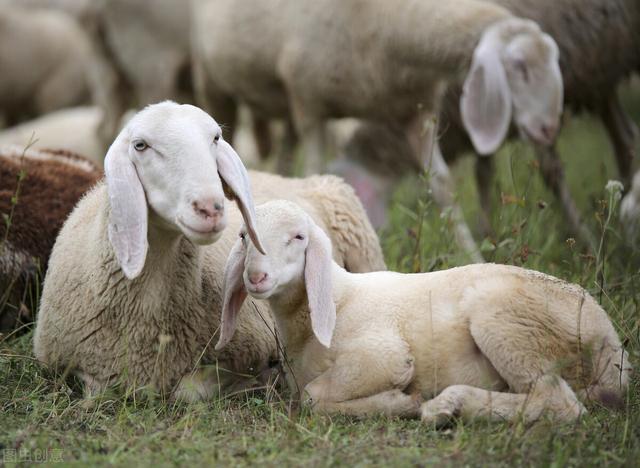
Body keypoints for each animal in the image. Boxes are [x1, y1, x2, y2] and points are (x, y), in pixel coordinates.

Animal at [33, 100, 384, 400]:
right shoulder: (66, 364)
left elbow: (188, 392)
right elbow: (97, 389)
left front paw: (260, 381)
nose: (210, 208)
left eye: (215, 138)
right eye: (140, 145)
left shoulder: (247, 352)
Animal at [192, 0, 564, 264]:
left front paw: (474, 257)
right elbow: (313, 172)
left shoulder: (418, 116)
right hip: (215, 82)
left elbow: (444, 188)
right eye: (519, 66)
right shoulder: (309, 104)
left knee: (285, 153)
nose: (548, 129)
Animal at [216, 200, 632, 424]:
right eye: (243, 237)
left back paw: (448, 405)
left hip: (507, 321)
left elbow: (314, 397)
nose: (256, 276)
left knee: (557, 402)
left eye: (299, 237)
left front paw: (398, 403)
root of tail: (612, 344)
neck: (335, 299)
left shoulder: (383, 355)